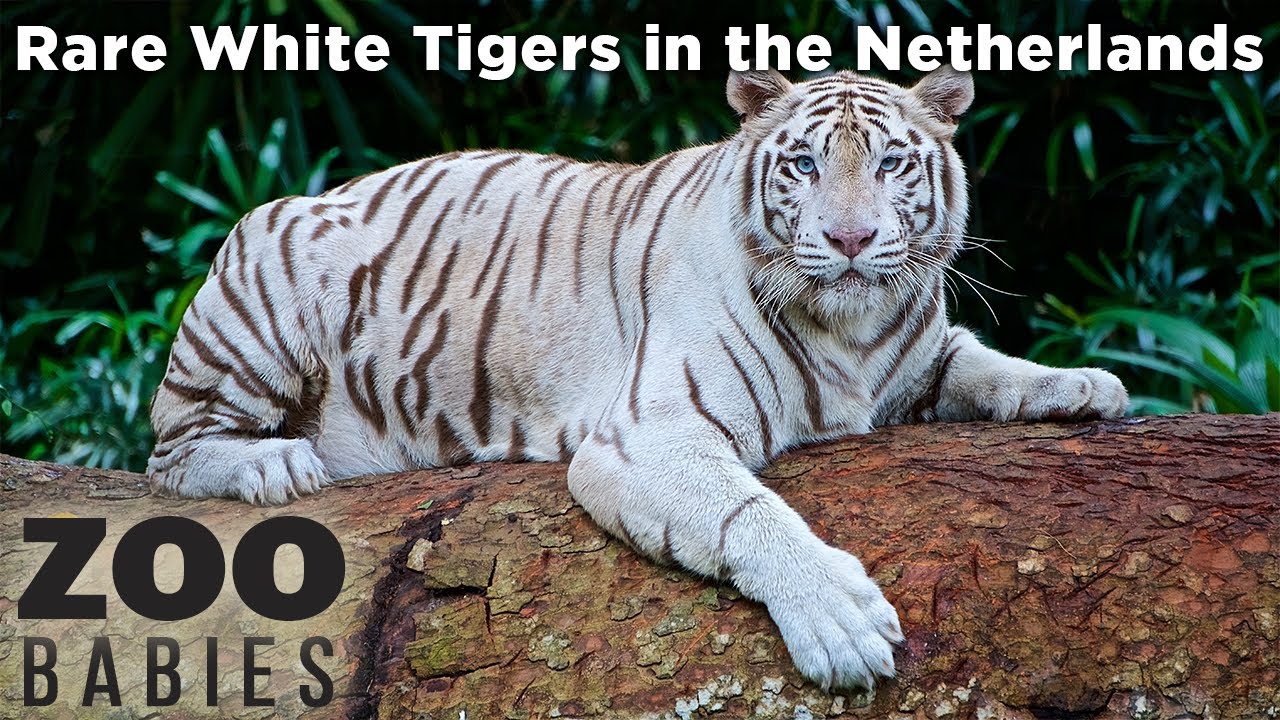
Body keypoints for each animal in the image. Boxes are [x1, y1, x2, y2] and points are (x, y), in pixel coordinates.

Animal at [147, 65, 1129, 690]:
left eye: (890, 162)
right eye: (805, 163)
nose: (850, 239)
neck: (852, 332)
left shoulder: (918, 356)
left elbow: (983, 363)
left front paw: (1084, 384)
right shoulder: (653, 433)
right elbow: (750, 513)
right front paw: (841, 623)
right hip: (266, 279)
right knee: (171, 452)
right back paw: (273, 465)